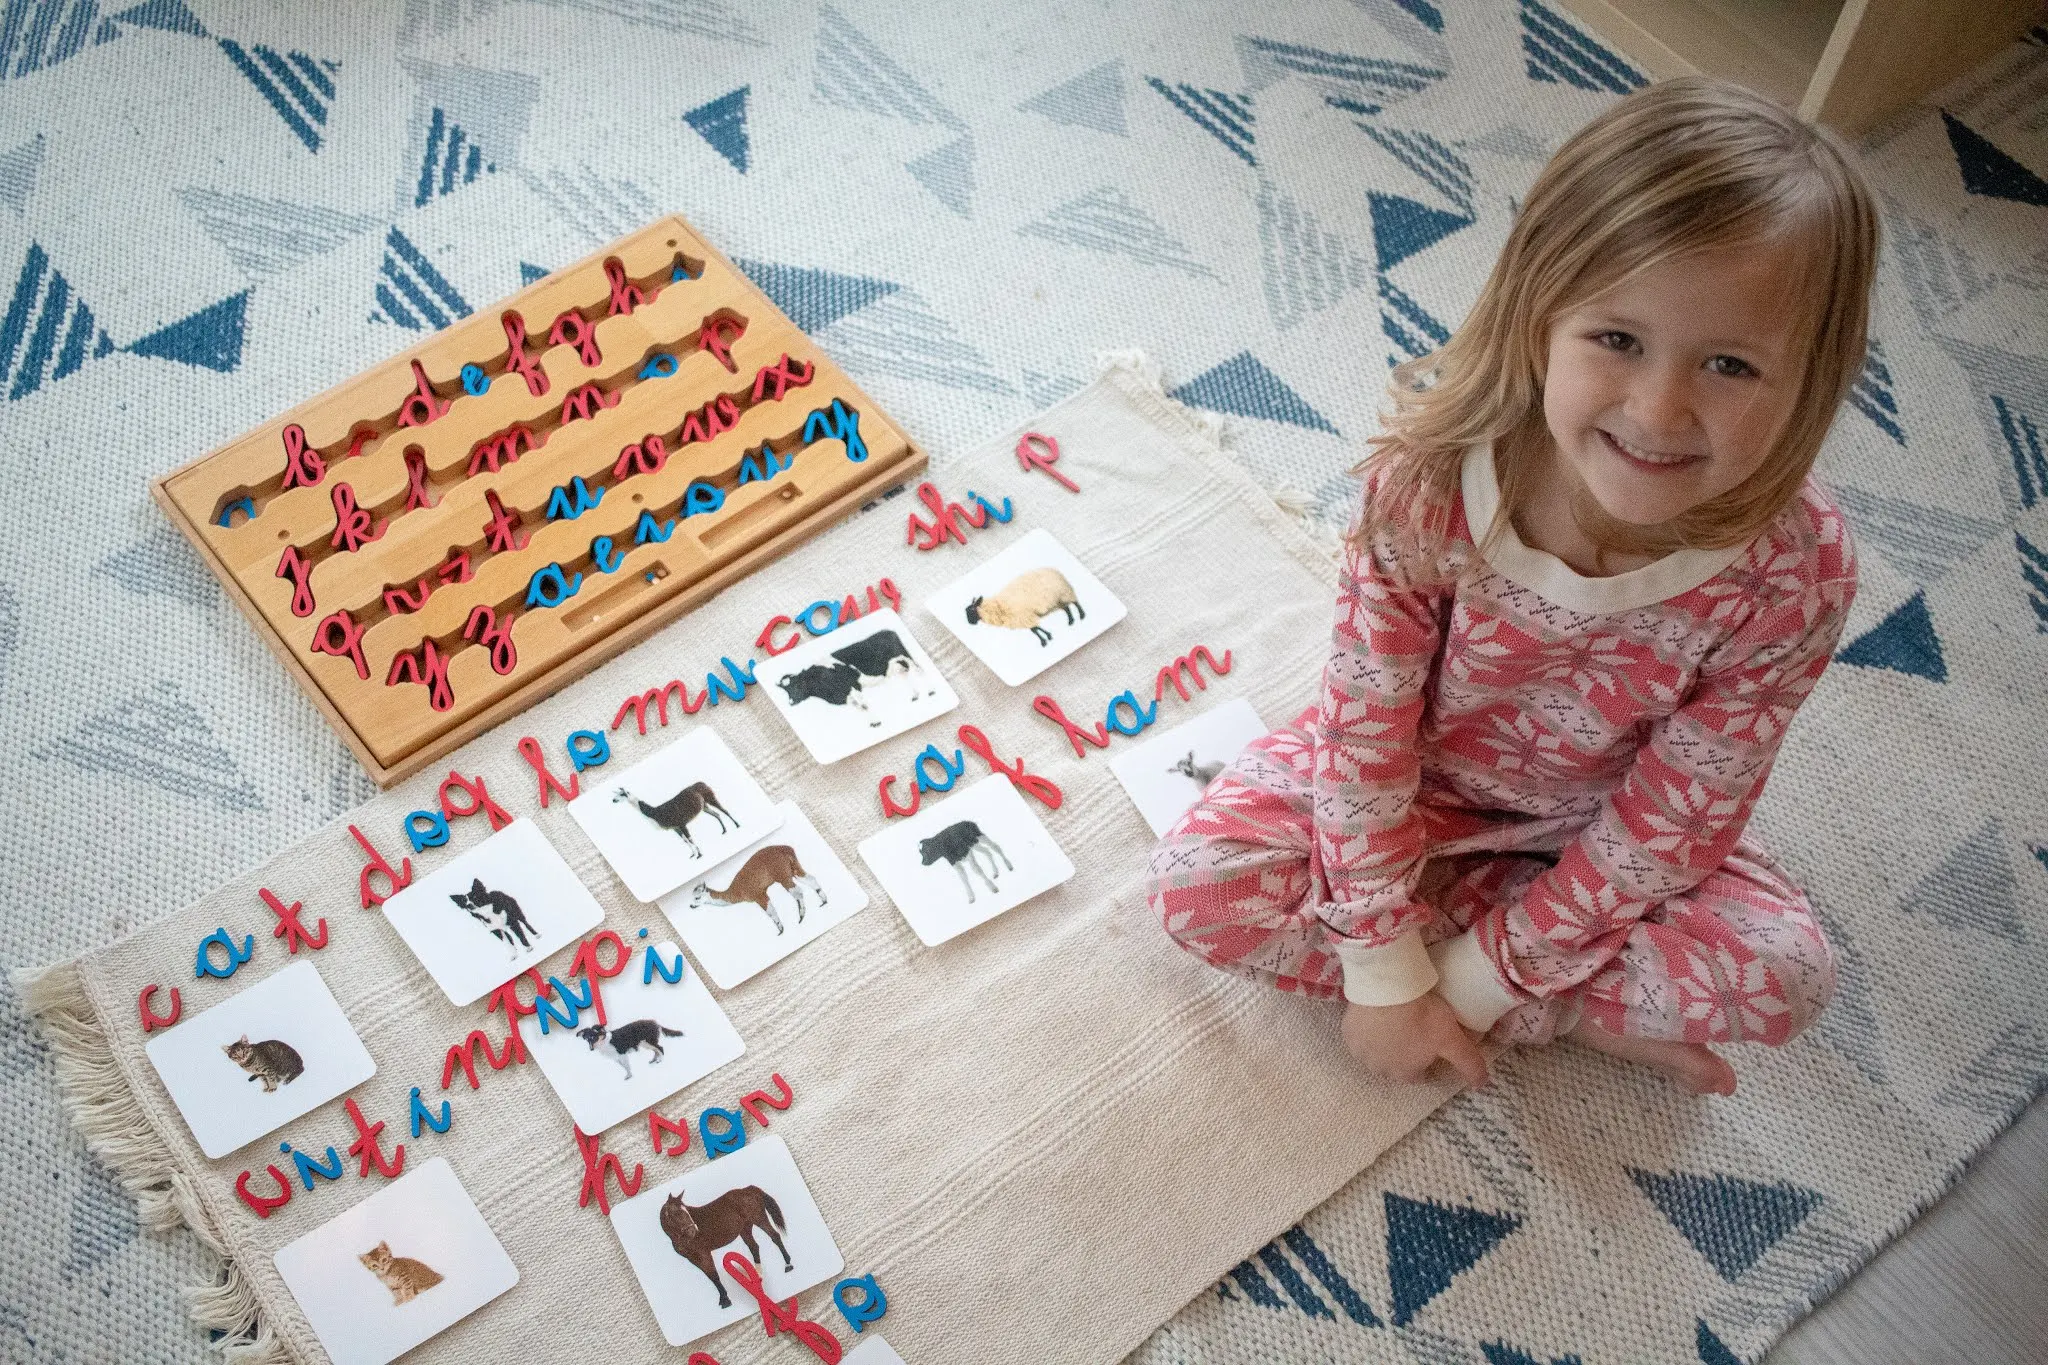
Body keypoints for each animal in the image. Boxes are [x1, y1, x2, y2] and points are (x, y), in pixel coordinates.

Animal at [655, 1178, 790, 1309]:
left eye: (686, 1211)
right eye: (676, 1213)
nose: (693, 1231)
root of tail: (749, 1189)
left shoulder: (704, 1253)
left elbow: (714, 1275)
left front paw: (725, 1300)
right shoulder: (692, 1258)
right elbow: (710, 1276)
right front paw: (723, 1299)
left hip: (759, 1219)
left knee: (775, 1237)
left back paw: (788, 1265)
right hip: (745, 1228)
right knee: (754, 1247)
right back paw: (757, 1276)